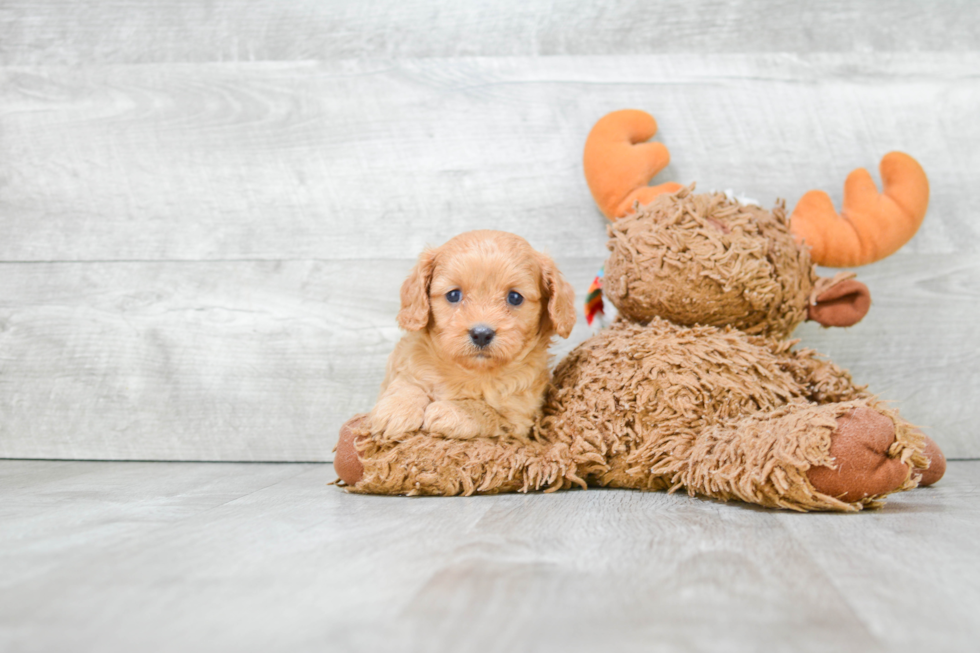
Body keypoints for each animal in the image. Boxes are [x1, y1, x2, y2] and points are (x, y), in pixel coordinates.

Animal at [372, 228, 580, 438]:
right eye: (453, 295)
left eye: (515, 297)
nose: (481, 334)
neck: (472, 372)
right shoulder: (407, 364)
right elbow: (407, 383)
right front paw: (397, 409)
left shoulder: (518, 422)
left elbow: (486, 410)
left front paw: (453, 410)